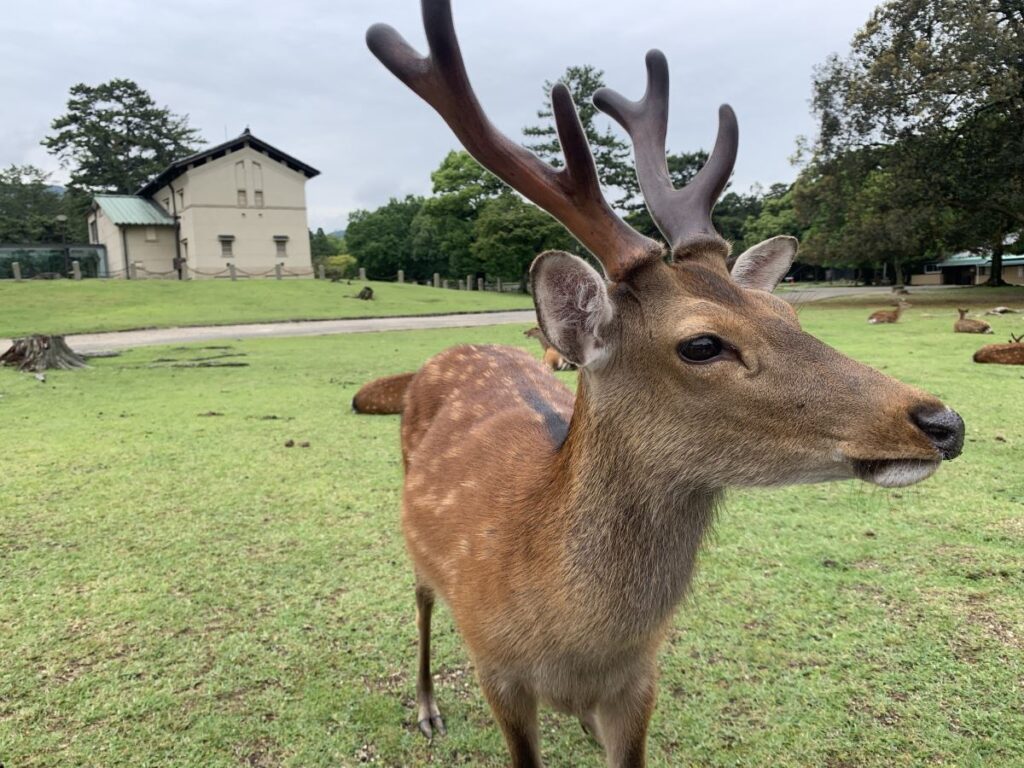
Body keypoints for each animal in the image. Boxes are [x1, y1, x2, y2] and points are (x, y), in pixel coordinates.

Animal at [363, 2, 965, 765]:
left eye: (788, 314)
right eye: (702, 344)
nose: (944, 422)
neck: (573, 640)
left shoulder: (641, 679)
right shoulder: (496, 668)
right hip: (414, 539)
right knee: (418, 599)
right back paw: (426, 708)